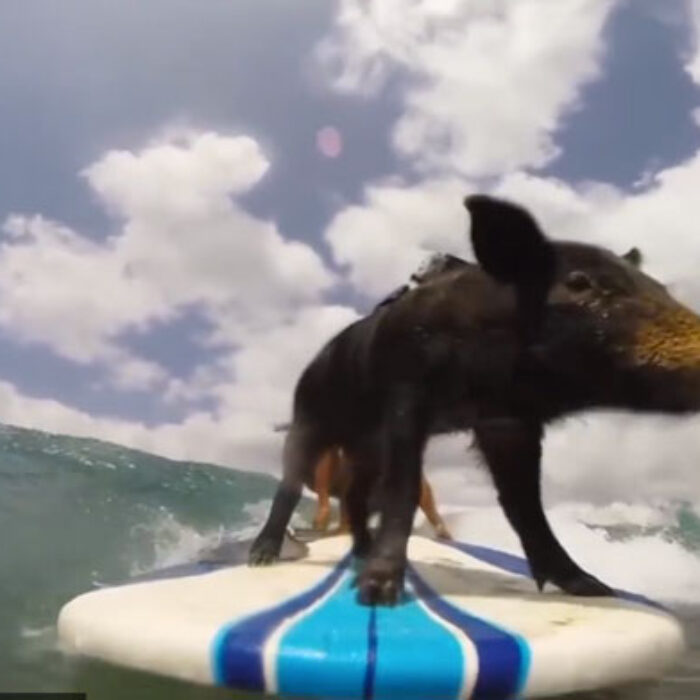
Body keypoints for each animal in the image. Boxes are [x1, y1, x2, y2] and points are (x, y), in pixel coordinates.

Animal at [249, 194, 700, 606]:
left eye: (659, 287)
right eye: (579, 283)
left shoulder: (507, 423)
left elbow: (525, 506)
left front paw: (593, 589)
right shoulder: (406, 395)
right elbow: (404, 488)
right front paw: (378, 595)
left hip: (365, 448)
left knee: (357, 494)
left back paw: (360, 550)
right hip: (308, 418)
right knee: (292, 483)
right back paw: (262, 557)